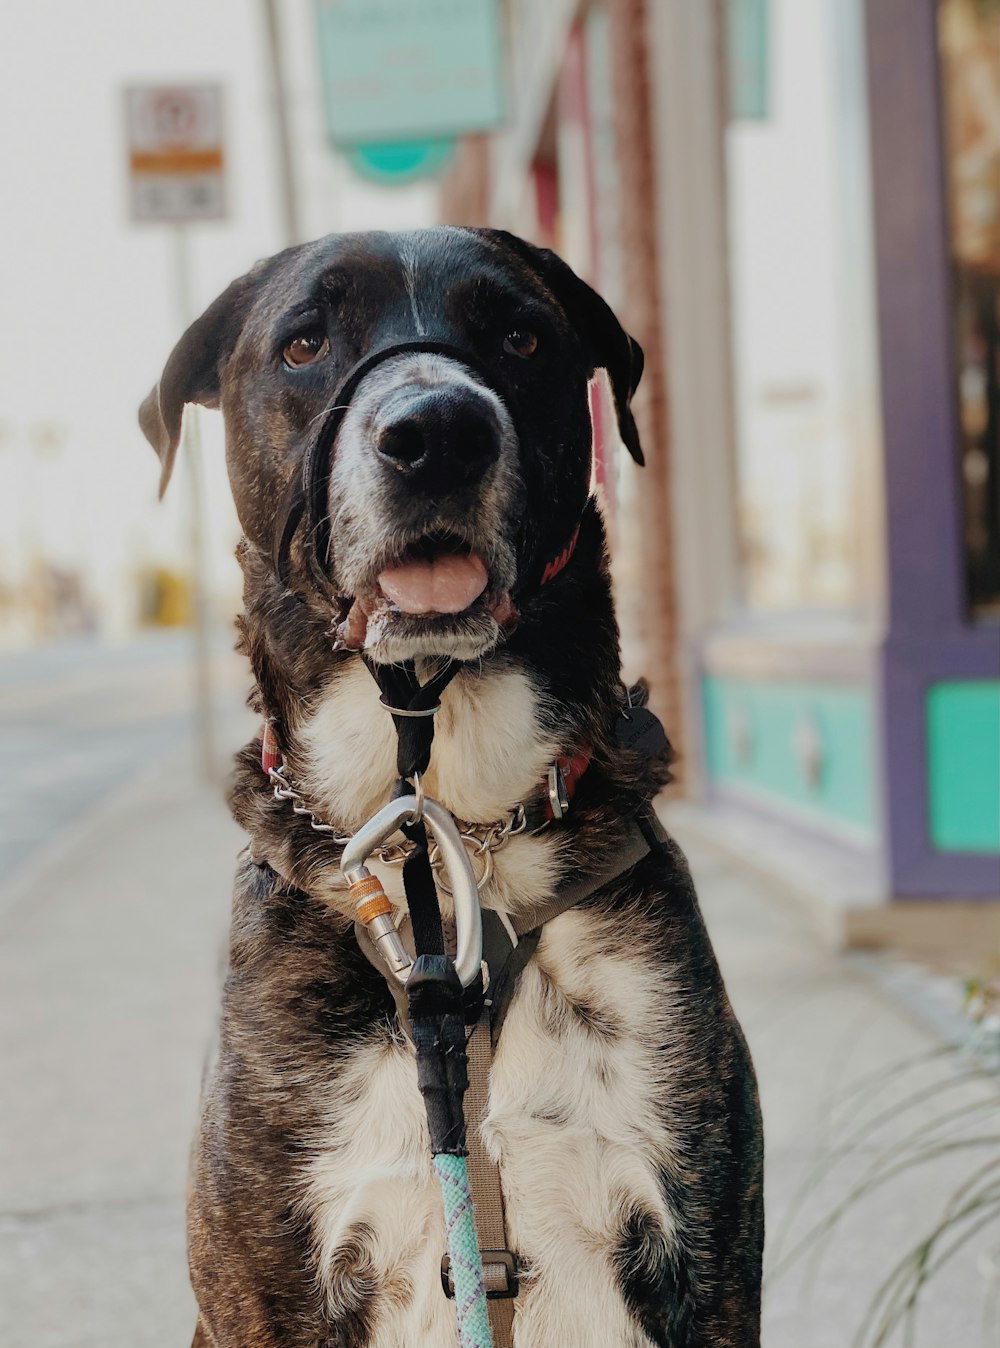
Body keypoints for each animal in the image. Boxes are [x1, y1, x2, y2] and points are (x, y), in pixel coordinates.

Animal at [140, 231, 765, 1348]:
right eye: (305, 343)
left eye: (520, 337)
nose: (436, 432)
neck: (451, 829)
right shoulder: (268, 1287)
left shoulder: (706, 1262)